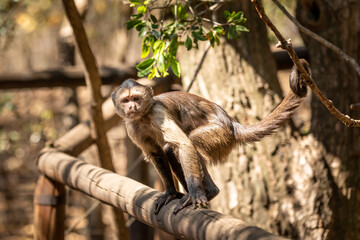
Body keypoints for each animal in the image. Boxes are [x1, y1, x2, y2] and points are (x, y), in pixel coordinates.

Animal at [112, 59, 310, 215]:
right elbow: (155, 154)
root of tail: (231, 122)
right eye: (125, 101)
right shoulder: (132, 127)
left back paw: (207, 192)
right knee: (170, 150)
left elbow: (184, 145)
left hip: (220, 134)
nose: (132, 107)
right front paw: (170, 192)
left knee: (183, 145)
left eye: (136, 98)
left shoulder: (157, 113)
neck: (144, 116)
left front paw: (196, 195)